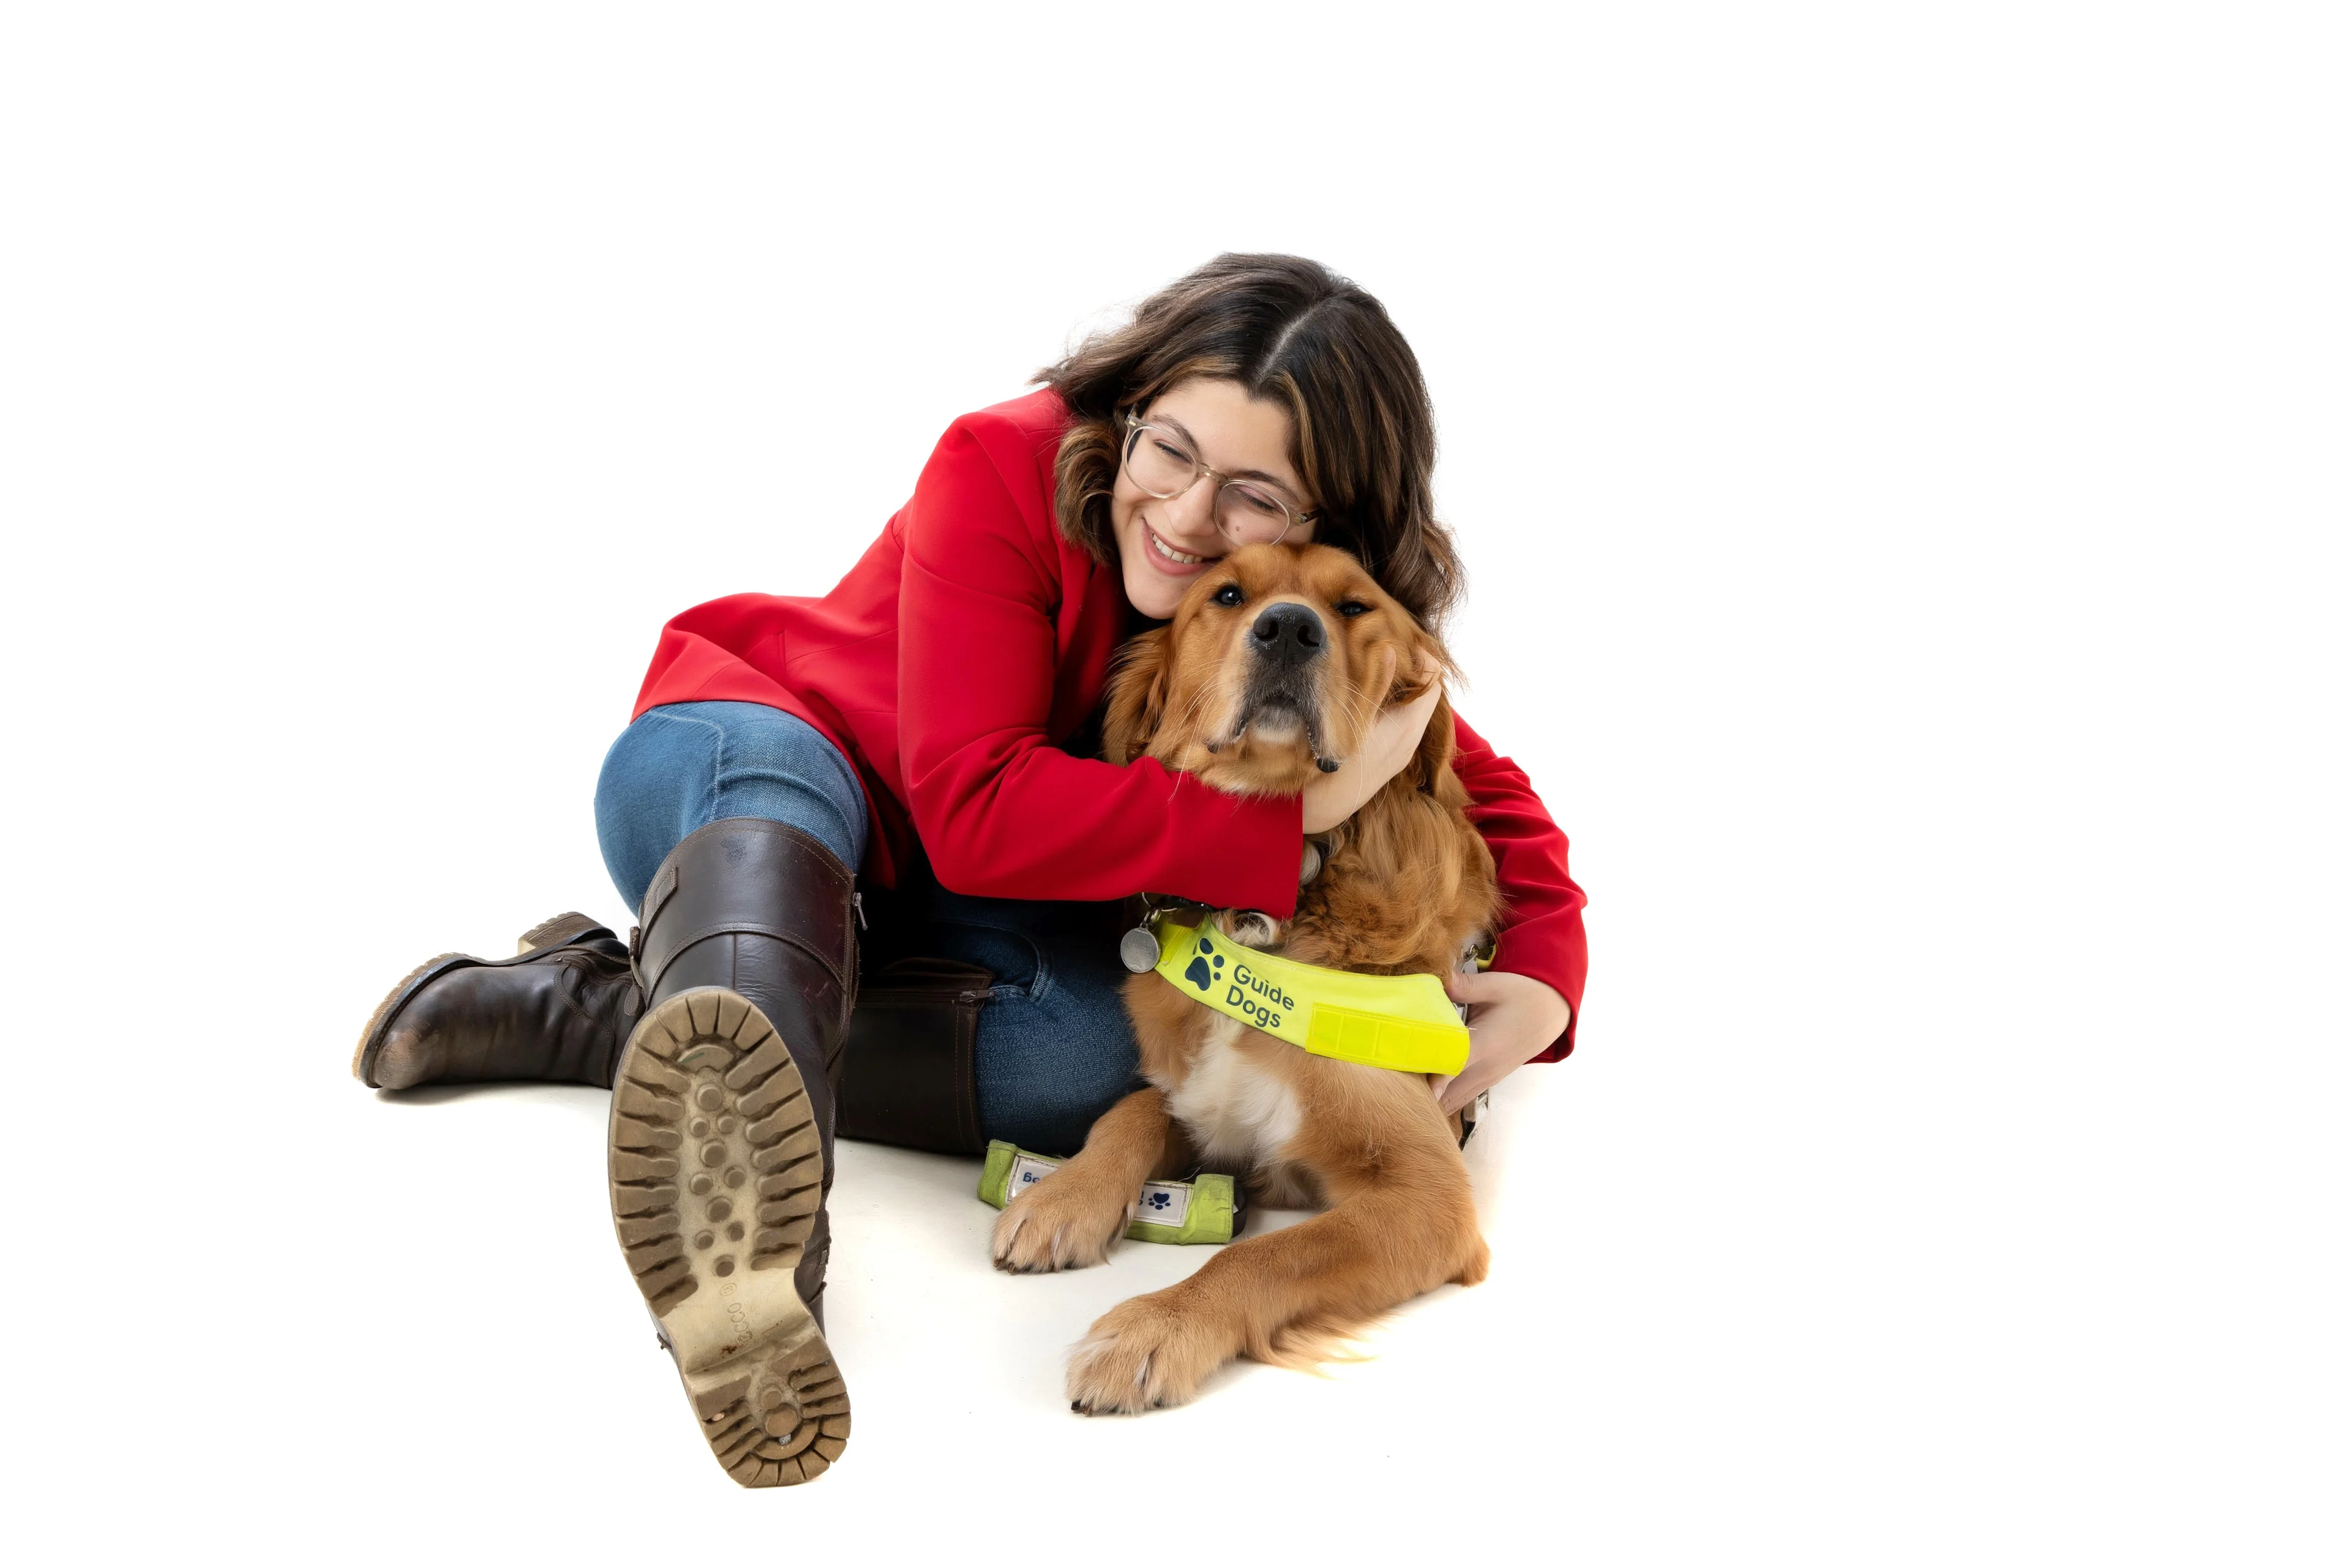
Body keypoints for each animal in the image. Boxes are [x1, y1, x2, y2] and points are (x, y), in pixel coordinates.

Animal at [983, 545, 1495, 1420]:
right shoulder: (1196, 1096)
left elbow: (1266, 1255)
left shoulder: (1427, 1194)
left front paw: (1155, 1327)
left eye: (1354, 607)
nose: (1288, 627)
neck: (1261, 920)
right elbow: (1128, 1111)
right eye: (1226, 595)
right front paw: (1059, 1197)